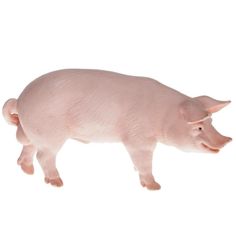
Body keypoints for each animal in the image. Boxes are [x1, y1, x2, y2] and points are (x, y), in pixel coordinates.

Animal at [2, 69, 231, 189]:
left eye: (211, 122)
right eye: (199, 127)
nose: (227, 140)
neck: (164, 116)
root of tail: (21, 100)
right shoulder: (138, 139)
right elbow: (144, 161)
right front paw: (155, 187)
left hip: (34, 131)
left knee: (28, 148)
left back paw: (27, 171)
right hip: (51, 134)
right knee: (44, 156)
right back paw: (57, 183)